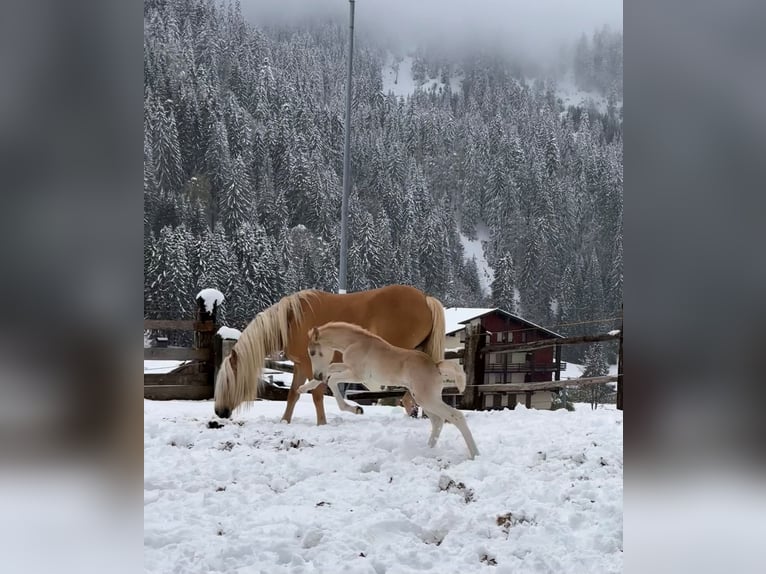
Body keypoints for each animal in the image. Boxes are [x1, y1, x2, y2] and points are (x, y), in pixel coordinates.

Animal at [213, 286, 448, 426]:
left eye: (228, 381)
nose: (219, 412)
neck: (291, 320)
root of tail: (426, 299)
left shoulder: (310, 365)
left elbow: (316, 393)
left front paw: (322, 422)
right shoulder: (300, 364)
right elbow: (293, 394)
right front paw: (285, 421)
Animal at [300, 322, 480, 462]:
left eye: (312, 352)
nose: (317, 375)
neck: (355, 343)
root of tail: (435, 366)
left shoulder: (358, 375)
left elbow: (332, 379)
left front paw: (355, 409)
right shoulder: (348, 368)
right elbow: (331, 368)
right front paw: (304, 388)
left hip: (427, 399)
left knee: (456, 416)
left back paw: (475, 454)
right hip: (425, 400)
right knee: (438, 421)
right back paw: (427, 449)